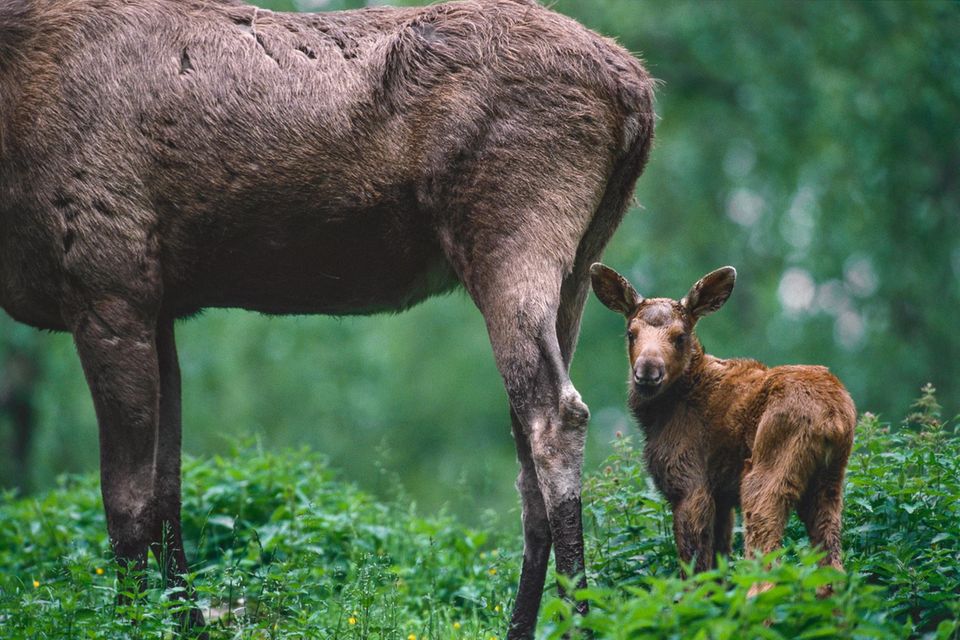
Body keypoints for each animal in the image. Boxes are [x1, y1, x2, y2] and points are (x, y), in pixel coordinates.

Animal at [592, 262, 856, 588]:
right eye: (631, 333)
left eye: (680, 336)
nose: (648, 370)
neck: (660, 415)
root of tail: (833, 418)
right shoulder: (722, 495)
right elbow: (719, 566)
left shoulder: (690, 483)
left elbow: (695, 572)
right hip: (829, 484)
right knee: (833, 569)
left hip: (764, 473)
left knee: (767, 562)